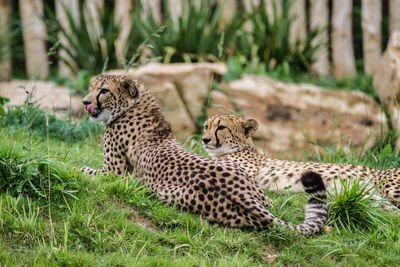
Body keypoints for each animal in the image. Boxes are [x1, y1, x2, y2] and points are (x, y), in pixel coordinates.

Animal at [80, 74, 328, 236]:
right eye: (92, 87)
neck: (135, 106)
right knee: (271, 202)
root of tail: (243, 195)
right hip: (253, 187)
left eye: (103, 90)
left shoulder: (114, 175)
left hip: (164, 194)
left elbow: (82, 168)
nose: (85, 102)